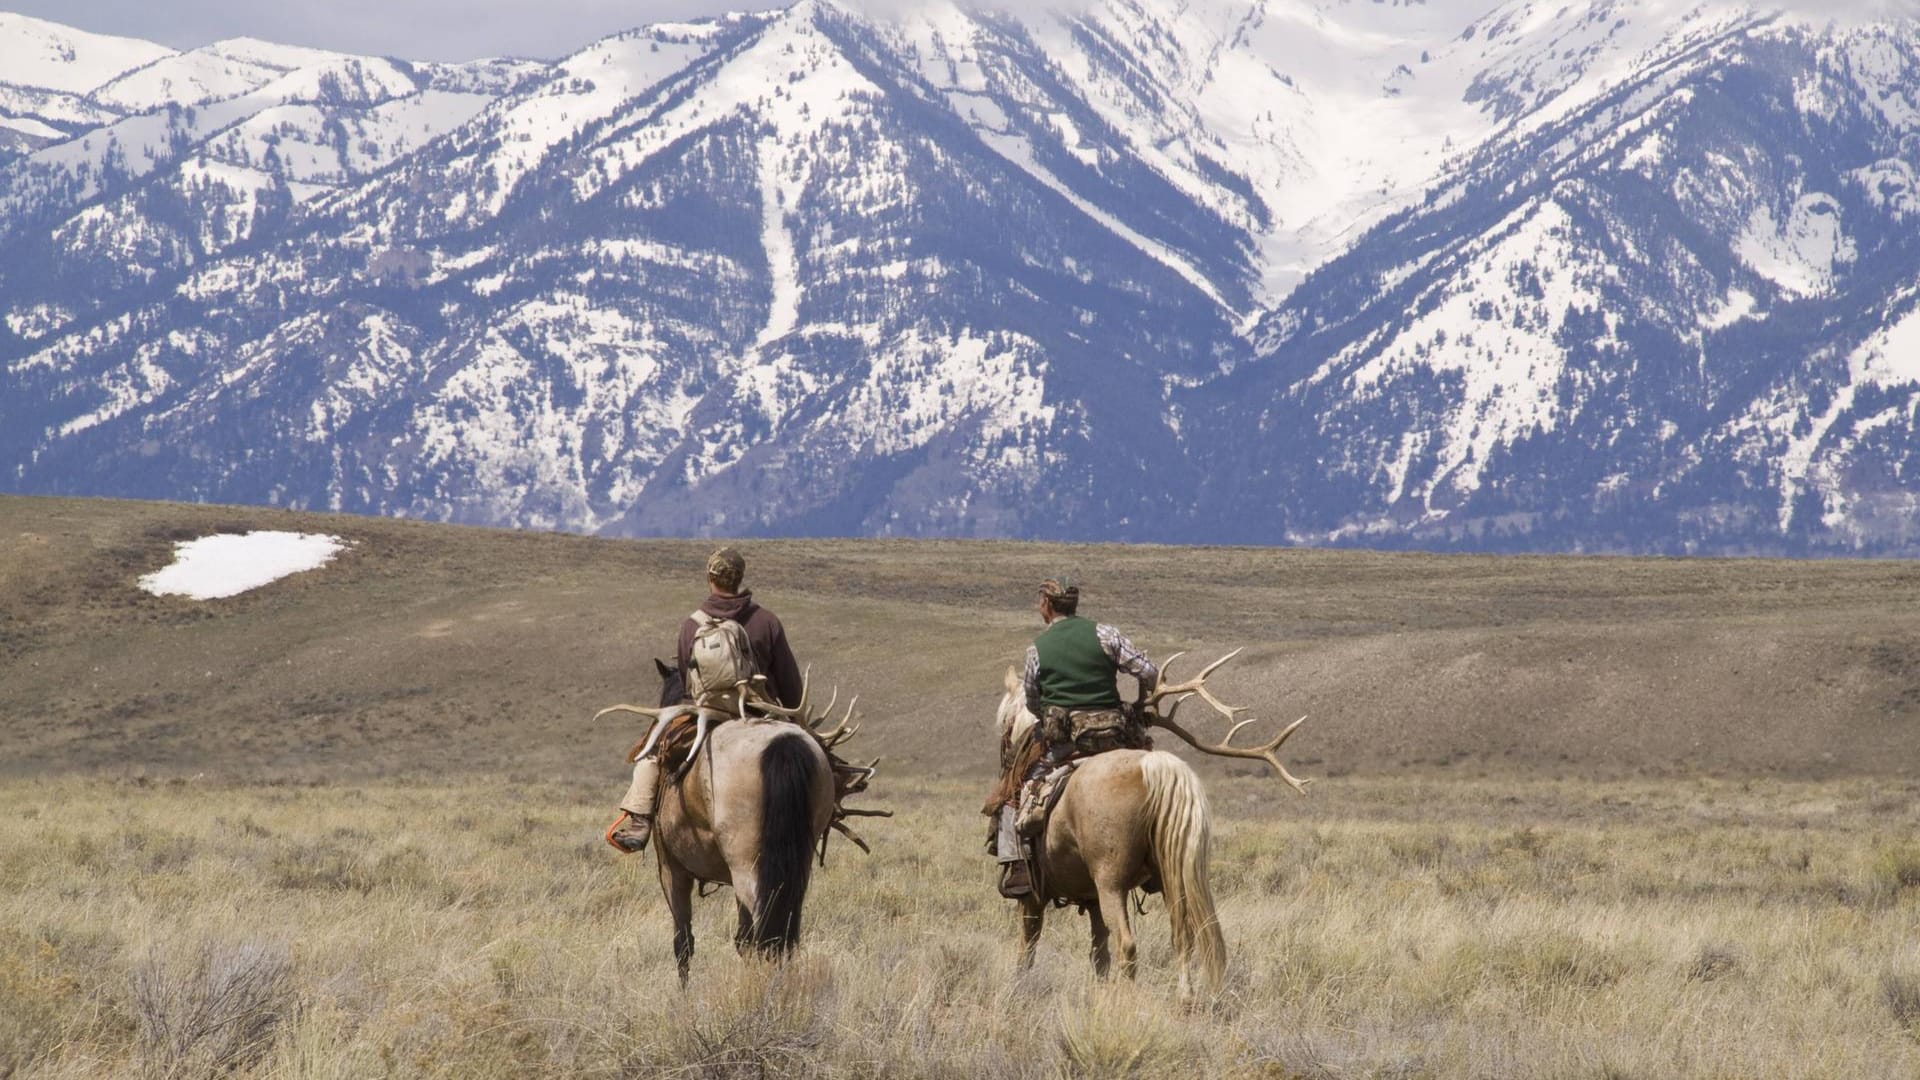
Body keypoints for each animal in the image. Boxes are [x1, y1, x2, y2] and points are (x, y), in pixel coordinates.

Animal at [998, 657, 1313, 999]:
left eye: (1004, 720)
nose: (1007, 753)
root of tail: (1155, 767)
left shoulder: (1033, 894)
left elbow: (1028, 950)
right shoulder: (1089, 898)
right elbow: (1098, 955)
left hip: (1111, 882)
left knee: (1128, 945)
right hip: (1173, 873)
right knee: (1183, 936)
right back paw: (1185, 998)